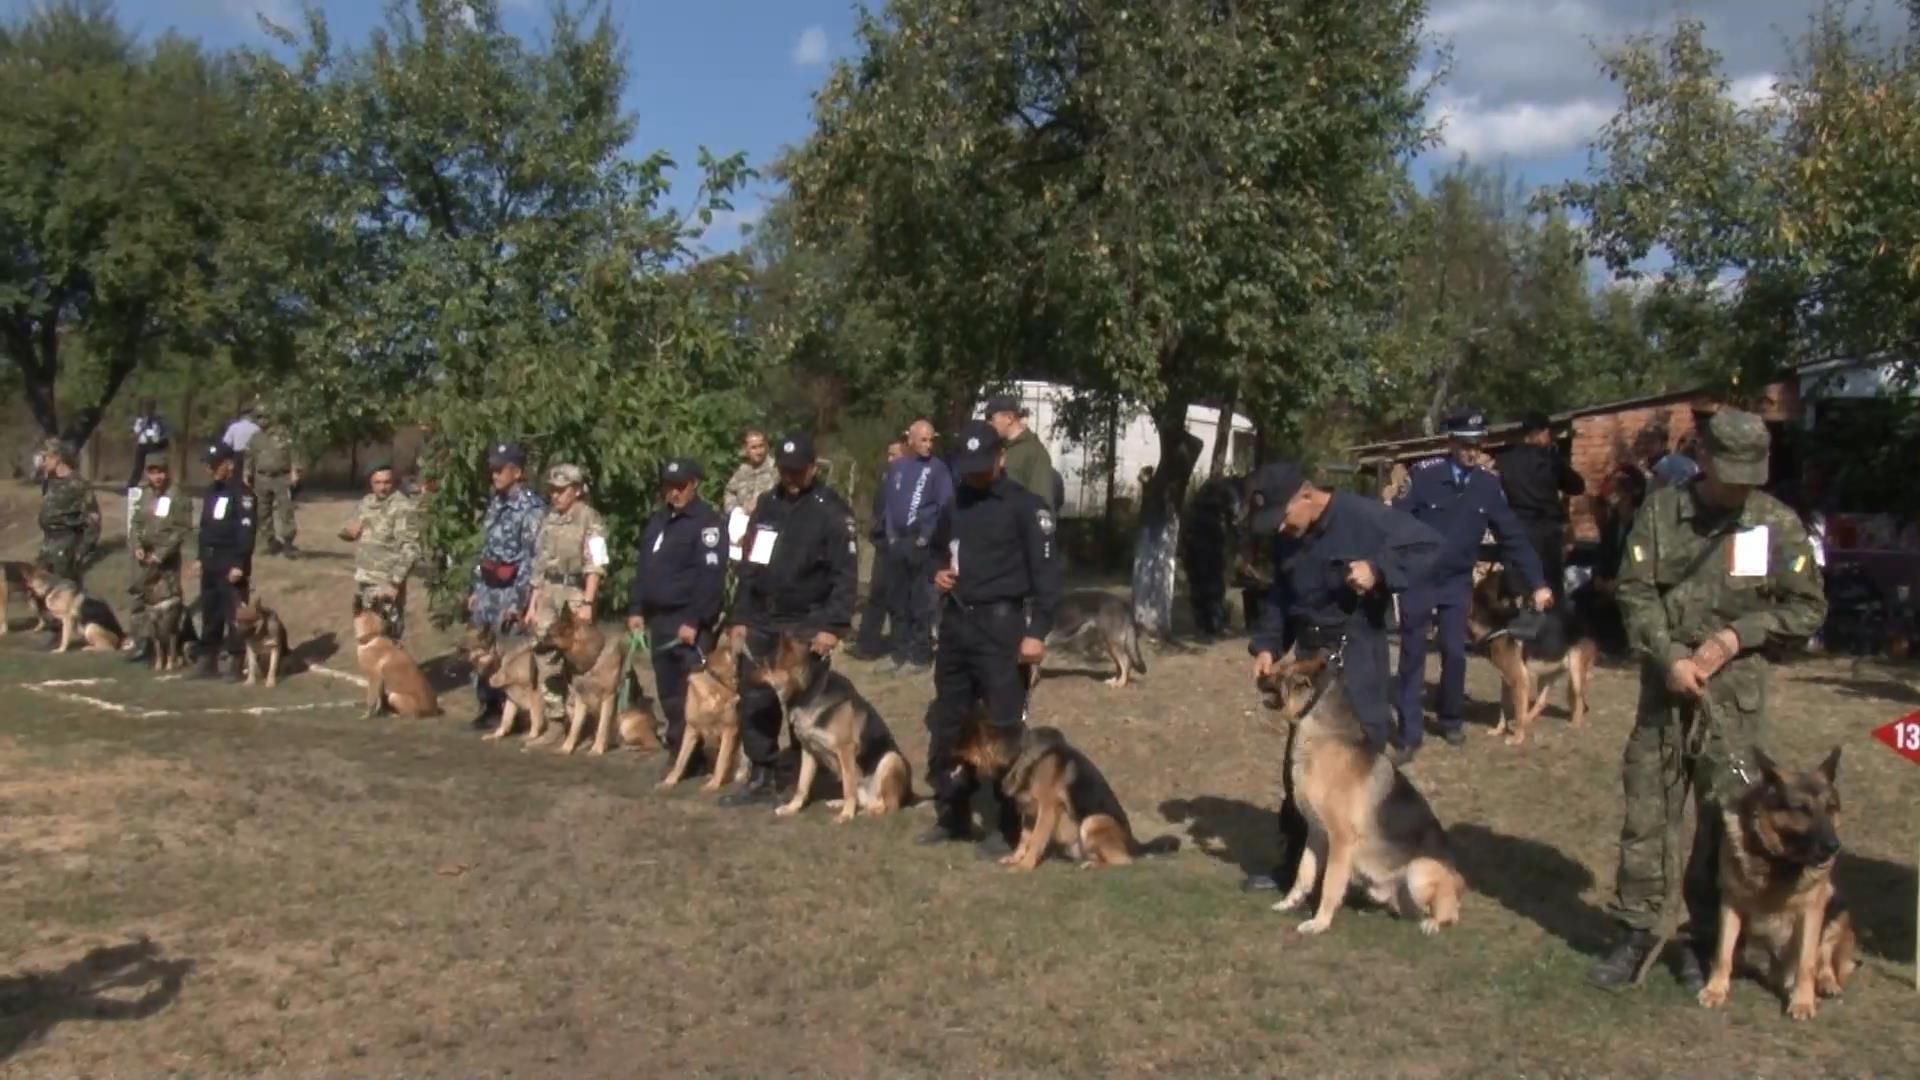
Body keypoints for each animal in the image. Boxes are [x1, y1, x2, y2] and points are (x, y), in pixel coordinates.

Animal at [660, 634, 748, 787]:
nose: (743, 635)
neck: (716, 683)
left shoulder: (730, 729)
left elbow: (721, 761)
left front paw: (713, 785)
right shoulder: (691, 729)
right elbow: (681, 759)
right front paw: (670, 780)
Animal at [744, 630, 910, 814]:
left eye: (763, 664)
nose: (743, 679)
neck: (808, 693)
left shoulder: (846, 750)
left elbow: (848, 788)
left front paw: (846, 815)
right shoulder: (808, 750)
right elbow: (802, 785)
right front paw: (792, 808)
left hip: (891, 759)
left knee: (887, 806)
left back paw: (867, 811)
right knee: (861, 798)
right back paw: (841, 803)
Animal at [998, 722, 1175, 864]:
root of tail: (1134, 846)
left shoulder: (1047, 808)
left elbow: (1036, 840)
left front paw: (1024, 866)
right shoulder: (1029, 813)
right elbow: (1024, 839)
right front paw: (1015, 859)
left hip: (1093, 821)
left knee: (1122, 861)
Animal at [1267, 645, 1459, 933]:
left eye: (1282, 676)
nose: (1260, 675)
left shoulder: (1341, 840)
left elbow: (1330, 884)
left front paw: (1319, 923)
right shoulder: (1316, 833)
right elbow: (1304, 873)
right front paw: (1289, 903)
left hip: (1418, 872)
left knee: (1447, 914)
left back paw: (1432, 924)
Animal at [1704, 745, 1850, 1014]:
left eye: (1830, 808)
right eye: (1802, 809)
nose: (1834, 846)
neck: (1778, 861)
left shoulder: (1812, 910)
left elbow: (1807, 962)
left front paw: (1802, 1002)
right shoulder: (1731, 902)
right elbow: (1723, 953)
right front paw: (1715, 989)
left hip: (1836, 906)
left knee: (1823, 956)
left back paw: (1826, 982)